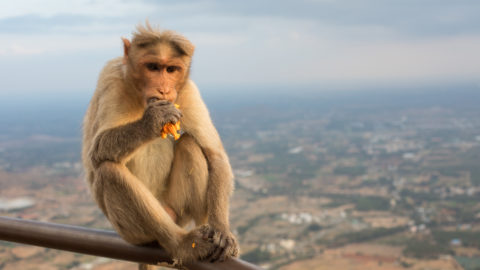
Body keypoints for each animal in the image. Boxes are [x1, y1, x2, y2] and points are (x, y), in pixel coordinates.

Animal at [82, 22, 240, 266]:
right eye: (153, 67)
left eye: (171, 70)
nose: (164, 90)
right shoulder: (111, 79)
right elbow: (97, 150)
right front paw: (153, 120)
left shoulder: (187, 90)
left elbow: (215, 156)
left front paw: (222, 231)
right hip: (130, 231)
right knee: (109, 171)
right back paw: (181, 244)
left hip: (177, 212)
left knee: (189, 144)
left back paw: (204, 231)